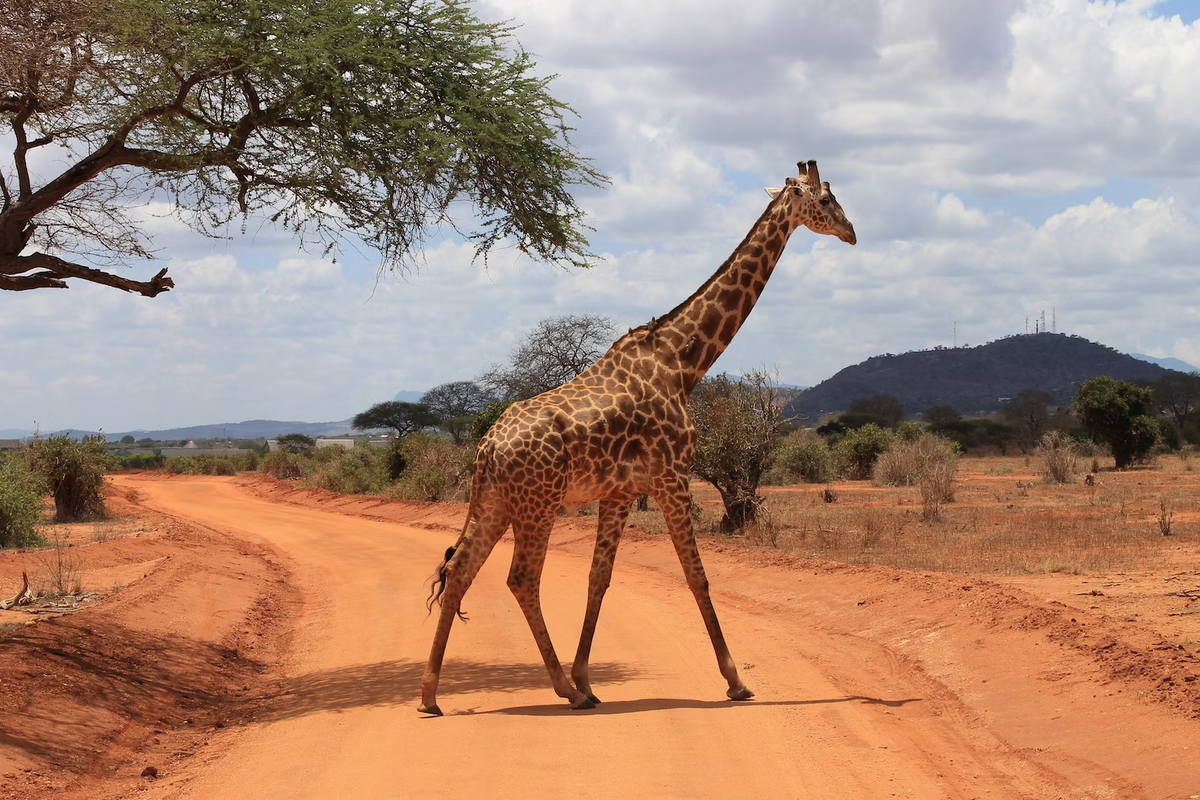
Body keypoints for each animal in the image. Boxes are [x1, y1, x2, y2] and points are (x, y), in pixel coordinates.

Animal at [420, 159, 854, 714]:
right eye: (826, 199)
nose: (852, 233)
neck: (684, 362)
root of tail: (488, 446)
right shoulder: (672, 475)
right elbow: (696, 574)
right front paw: (735, 681)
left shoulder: (621, 491)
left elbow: (598, 579)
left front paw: (587, 677)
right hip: (538, 503)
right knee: (521, 578)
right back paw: (561, 691)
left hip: (496, 500)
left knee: (459, 570)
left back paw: (431, 695)